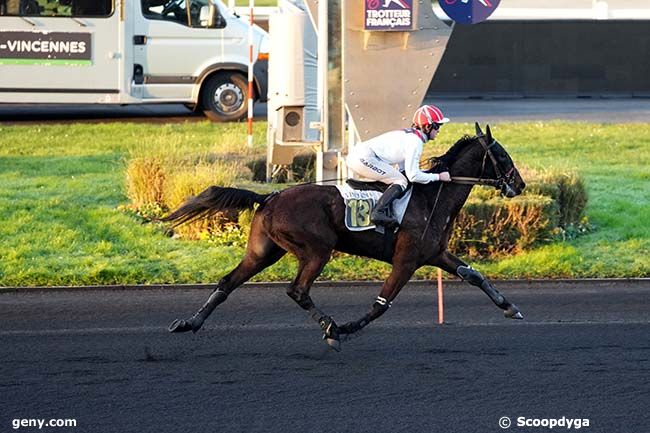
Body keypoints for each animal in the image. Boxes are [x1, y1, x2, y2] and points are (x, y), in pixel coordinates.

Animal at [165, 123, 524, 350]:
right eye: (503, 156)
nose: (519, 184)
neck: (431, 197)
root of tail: (270, 197)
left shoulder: (435, 253)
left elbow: (474, 275)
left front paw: (511, 308)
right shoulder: (406, 260)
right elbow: (381, 304)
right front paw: (347, 328)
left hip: (263, 251)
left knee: (228, 282)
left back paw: (189, 323)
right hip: (317, 250)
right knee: (297, 290)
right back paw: (331, 328)